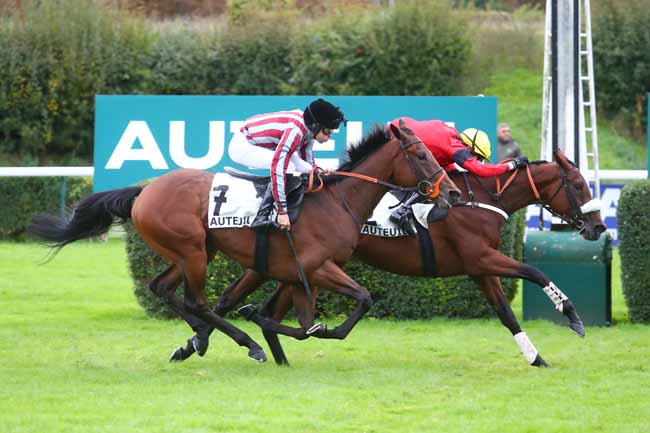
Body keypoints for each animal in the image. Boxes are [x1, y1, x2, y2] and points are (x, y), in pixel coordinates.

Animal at [27, 120, 458, 362]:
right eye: (422, 154)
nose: (452, 193)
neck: (337, 202)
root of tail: (144, 191)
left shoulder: (297, 273)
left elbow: (302, 320)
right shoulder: (316, 267)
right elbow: (356, 302)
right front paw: (309, 330)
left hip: (193, 250)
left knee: (164, 288)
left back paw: (200, 339)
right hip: (193, 251)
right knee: (195, 300)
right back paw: (245, 343)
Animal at [171, 148, 604, 364]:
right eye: (579, 185)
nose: (598, 227)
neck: (480, 198)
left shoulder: (480, 268)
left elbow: (506, 314)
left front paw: (536, 358)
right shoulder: (481, 258)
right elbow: (533, 270)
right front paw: (573, 317)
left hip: (296, 267)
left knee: (260, 309)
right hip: (289, 265)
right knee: (234, 302)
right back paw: (200, 344)